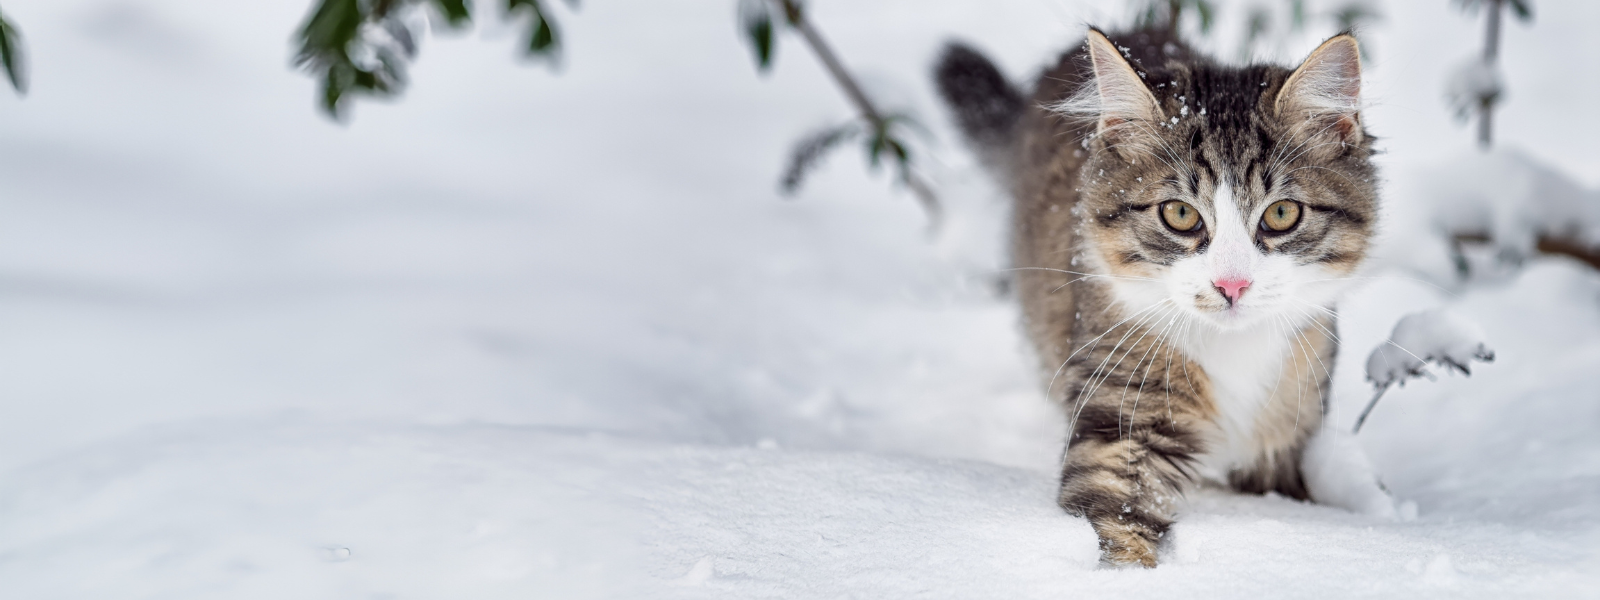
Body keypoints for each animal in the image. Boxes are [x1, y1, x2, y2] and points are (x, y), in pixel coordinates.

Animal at [934, 25, 1388, 566]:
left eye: (1281, 214)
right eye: (1180, 214)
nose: (1231, 284)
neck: (1234, 351)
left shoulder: (1286, 432)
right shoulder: (1122, 413)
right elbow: (1116, 517)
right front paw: (1128, 572)